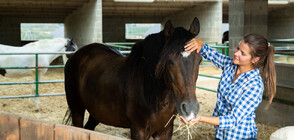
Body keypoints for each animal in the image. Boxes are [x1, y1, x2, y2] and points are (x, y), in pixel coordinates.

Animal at [63, 17, 202, 139]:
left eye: (199, 60)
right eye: (170, 61)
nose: (190, 109)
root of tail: (75, 56)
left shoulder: (165, 130)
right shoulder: (138, 130)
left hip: (96, 112)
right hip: (77, 109)